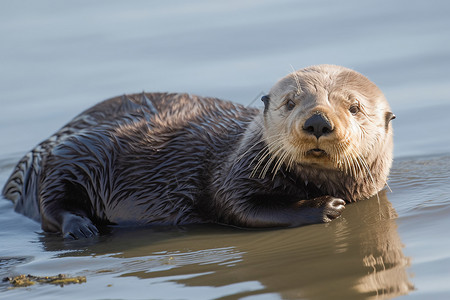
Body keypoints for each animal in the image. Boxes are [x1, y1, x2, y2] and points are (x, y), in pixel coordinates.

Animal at [1, 64, 394, 238]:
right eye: (290, 102)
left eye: (354, 107)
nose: (317, 122)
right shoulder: (232, 173)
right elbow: (241, 208)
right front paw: (327, 207)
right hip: (70, 156)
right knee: (52, 205)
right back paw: (81, 228)